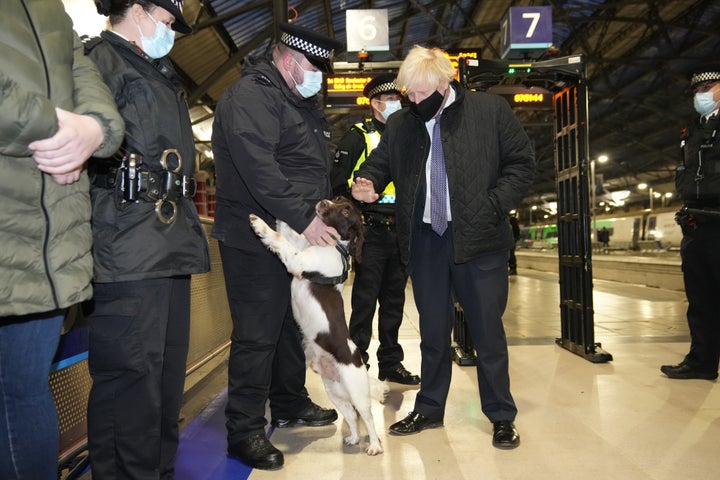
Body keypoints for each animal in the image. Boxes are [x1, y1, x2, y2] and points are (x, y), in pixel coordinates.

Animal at [250, 197, 390, 456]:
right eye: (337, 199)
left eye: (345, 211)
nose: (323, 201)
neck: (334, 246)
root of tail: (359, 364)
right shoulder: (299, 251)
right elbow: (287, 233)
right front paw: (282, 216)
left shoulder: (297, 261)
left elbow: (278, 238)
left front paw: (258, 223)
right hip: (335, 393)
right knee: (352, 418)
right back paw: (353, 439)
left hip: (357, 393)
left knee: (368, 418)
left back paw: (375, 445)